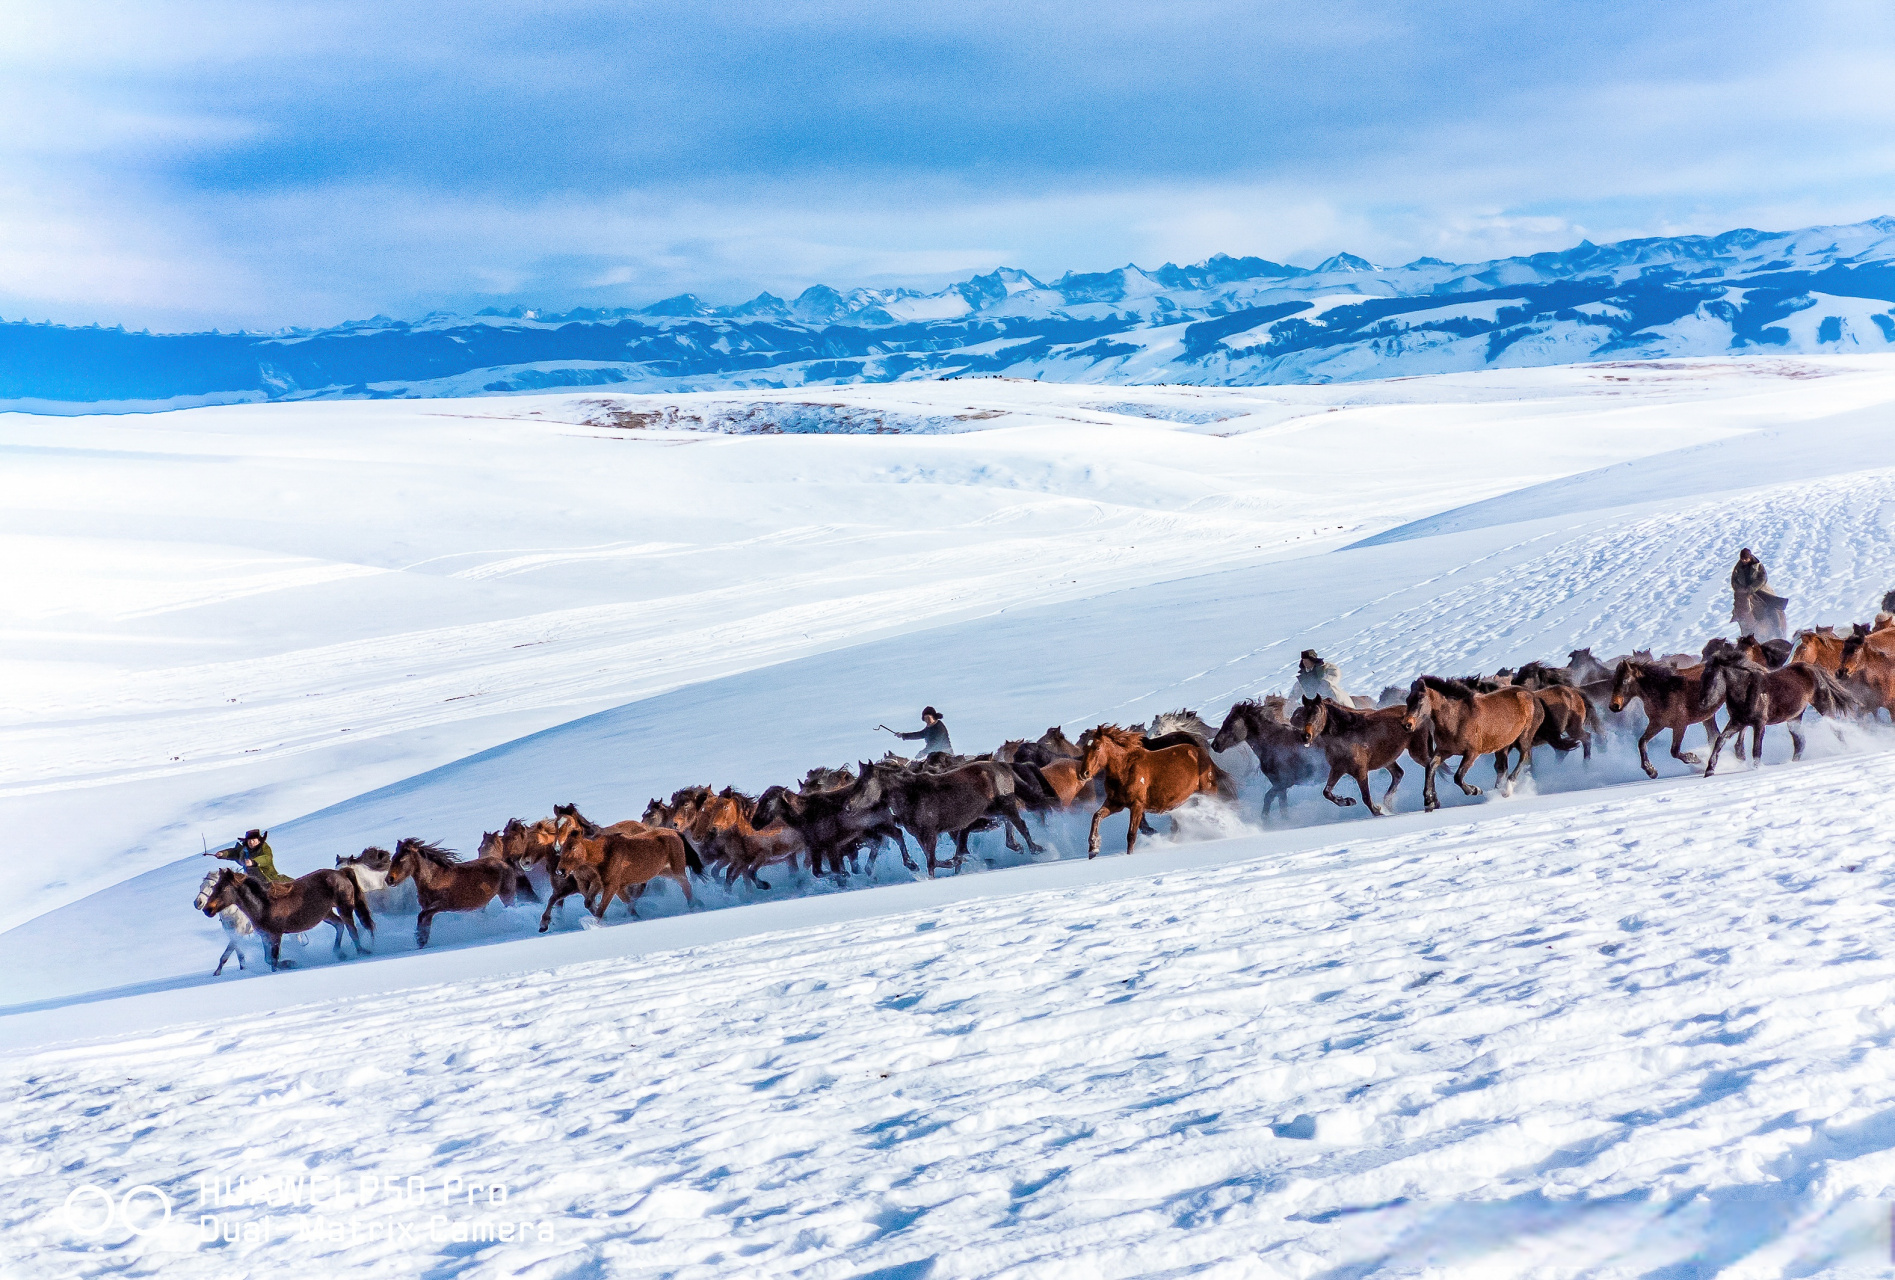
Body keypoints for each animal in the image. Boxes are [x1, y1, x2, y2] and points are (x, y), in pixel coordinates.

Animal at [198, 864, 371, 967]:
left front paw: (290, 963)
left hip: (344, 907)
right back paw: (340, 953)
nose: (206, 909)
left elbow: (274, 960)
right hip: (326, 914)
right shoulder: (264, 936)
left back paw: (362, 951)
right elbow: (268, 960)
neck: (262, 905)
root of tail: (341, 872)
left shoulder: (276, 935)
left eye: (222, 888)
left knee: (352, 929)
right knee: (340, 925)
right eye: (215, 887)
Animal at [386, 841, 526, 951]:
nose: (389, 879)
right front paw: (421, 942)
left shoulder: (440, 905)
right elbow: (424, 922)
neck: (433, 878)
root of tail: (505, 863)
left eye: (402, 859)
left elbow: (421, 916)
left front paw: (420, 939)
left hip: (507, 894)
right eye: (393, 858)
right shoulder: (428, 909)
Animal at [1076, 724, 1220, 857]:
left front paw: (1129, 854)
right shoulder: (1115, 803)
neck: (1125, 770)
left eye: (1097, 747)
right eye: (1085, 749)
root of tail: (1201, 752)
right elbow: (1097, 816)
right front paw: (1093, 849)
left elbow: (1131, 834)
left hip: (1208, 791)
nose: (1084, 774)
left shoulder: (1137, 805)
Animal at [1402, 682, 1546, 811]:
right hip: (1503, 745)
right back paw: (1497, 791)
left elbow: (1458, 776)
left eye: (1420, 700)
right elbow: (1430, 767)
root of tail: (1532, 695)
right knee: (1502, 767)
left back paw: (1507, 789)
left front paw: (1475, 790)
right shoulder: (1444, 751)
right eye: (1408, 700)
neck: (1456, 718)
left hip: (1524, 736)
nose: (1407, 725)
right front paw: (1429, 802)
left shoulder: (1472, 753)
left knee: (1524, 757)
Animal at [1697, 652, 1857, 769]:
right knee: (1800, 741)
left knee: (1836, 730)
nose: (1702, 703)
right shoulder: (1738, 722)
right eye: (1702, 678)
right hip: (1794, 717)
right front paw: (1709, 770)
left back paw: (1846, 750)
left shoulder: (1759, 723)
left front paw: (1756, 768)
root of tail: (1812, 668)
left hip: (1823, 706)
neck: (1746, 691)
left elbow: (1756, 749)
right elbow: (1720, 740)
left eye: (1712, 679)